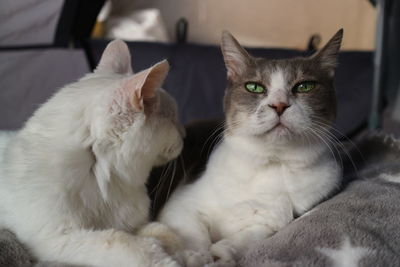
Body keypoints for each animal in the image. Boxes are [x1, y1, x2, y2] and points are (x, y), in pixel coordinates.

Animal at [0, 39, 184, 267]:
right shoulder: (58, 239)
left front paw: (186, 252)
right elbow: (127, 244)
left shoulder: (135, 224)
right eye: (172, 119)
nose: (185, 134)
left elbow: (160, 230)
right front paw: (167, 259)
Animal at [159, 29, 344, 267]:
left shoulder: (278, 220)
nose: (279, 105)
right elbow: (192, 232)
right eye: (254, 87)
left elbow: (252, 235)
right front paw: (196, 256)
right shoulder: (180, 205)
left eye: (305, 86)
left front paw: (222, 252)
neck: (275, 163)